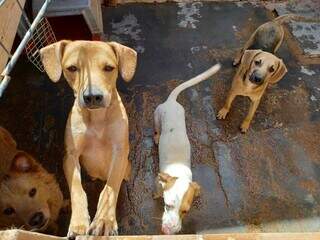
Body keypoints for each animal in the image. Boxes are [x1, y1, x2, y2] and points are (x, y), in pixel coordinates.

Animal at [39, 40, 136, 237]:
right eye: (72, 68)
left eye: (109, 68)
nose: (92, 97)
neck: (97, 119)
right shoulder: (70, 156)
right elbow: (77, 188)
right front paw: (78, 223)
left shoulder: (120, 152)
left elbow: (110, 188)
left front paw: (104, 220)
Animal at [153, 63, 220, 234]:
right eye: (167, 205)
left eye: (185, 211)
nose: (168, 231)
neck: (178, 171)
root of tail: (171, 101)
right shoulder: (158, 181)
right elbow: (158, 191)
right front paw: (156, 195)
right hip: (156, 117)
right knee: (156, 129)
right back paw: (156, 137)